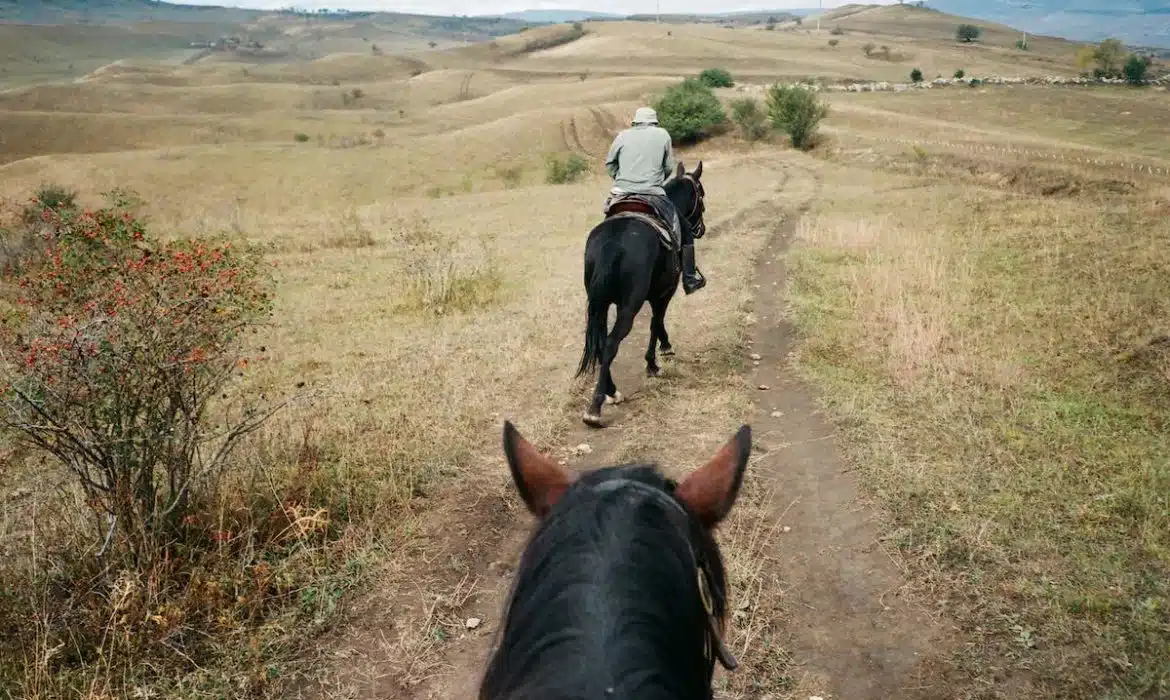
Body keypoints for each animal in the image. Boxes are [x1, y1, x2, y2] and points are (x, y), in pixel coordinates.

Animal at [573, 162, 702, 430]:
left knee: (601, 343)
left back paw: (611, 392)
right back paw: (595, 408)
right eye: (701, 194)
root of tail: (613, 242)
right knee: (611, 343)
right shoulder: (664, 293)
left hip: (599, 305)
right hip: (629, 306)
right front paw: (656, 360)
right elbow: (656, 323)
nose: (701, 229)